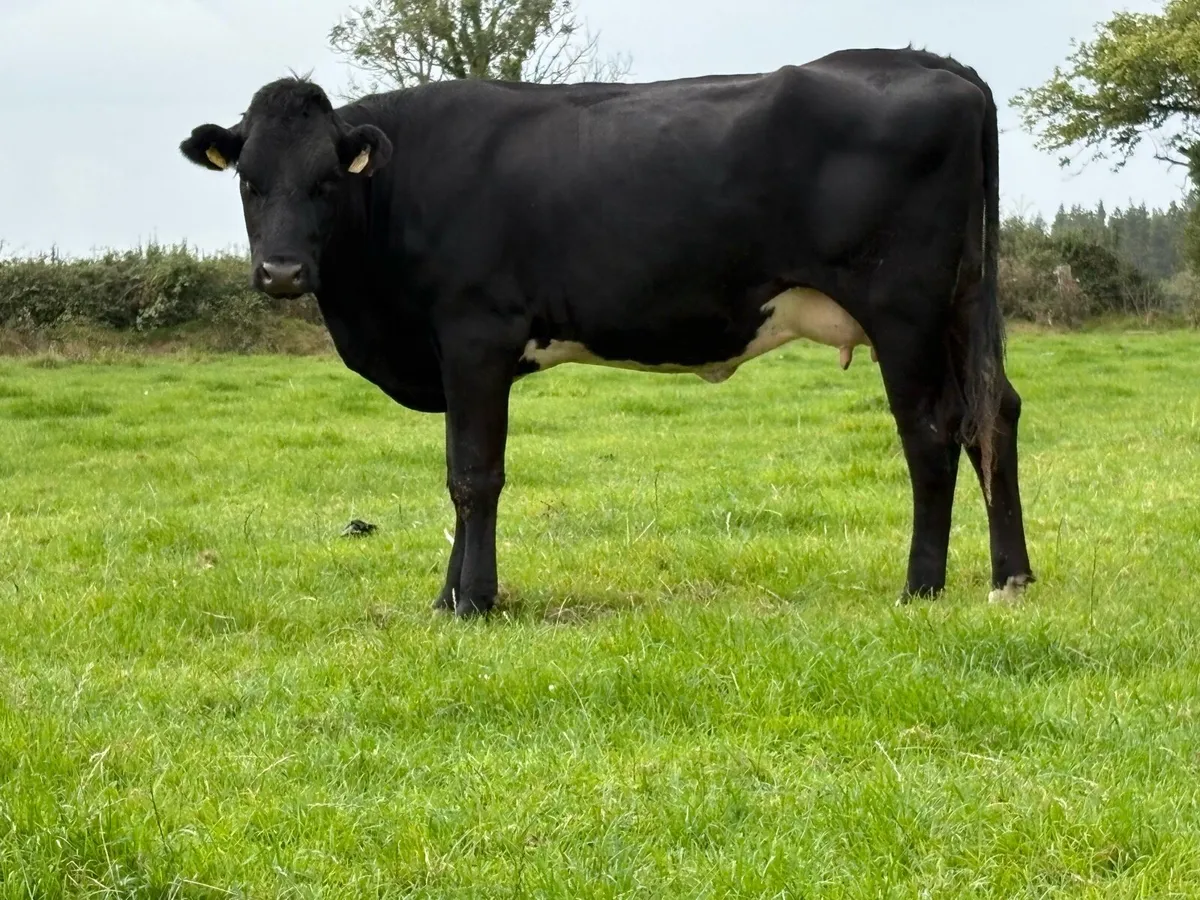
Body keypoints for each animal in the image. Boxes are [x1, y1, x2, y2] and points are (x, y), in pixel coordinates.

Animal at [179, 47, 1035, 618]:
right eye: (250, 181)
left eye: (327, 181)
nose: (281, 271)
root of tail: (935, 66)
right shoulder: (455, 354)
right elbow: (457, 476)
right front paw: (451, 594)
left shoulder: (476, 335)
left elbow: (474, 476)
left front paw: (473, 600)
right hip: (959, 308)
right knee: (994, 416)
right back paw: (1011, 576)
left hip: (905, 309)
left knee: (931, 433)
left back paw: (921, 586)